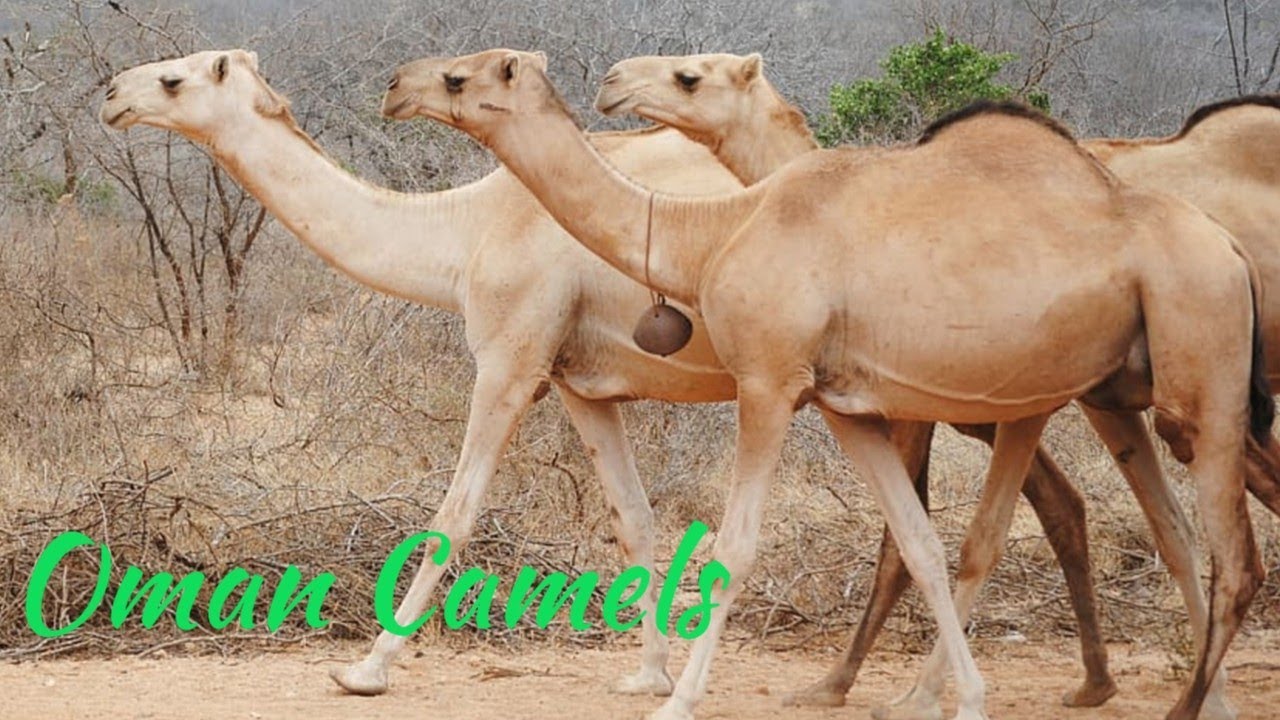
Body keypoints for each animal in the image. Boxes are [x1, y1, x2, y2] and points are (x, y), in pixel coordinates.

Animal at [99, 49, 757, 699]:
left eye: (172, 79)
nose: (111, 95)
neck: (467, 233)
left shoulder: (509, 359)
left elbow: (453, 515)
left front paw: (366, 669)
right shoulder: (581, 381)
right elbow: (633, 519)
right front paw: (650, 675)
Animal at [382, 49, 1273, 720]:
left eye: (458, 78)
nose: (395, 86)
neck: (714, 232)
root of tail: (1229, 249)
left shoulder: (769, 381)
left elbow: (736, 546)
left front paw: (679, 699)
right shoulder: (843, 403)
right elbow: (918, 540)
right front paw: (954, 696)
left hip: (1202, 373)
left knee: (1235, 556)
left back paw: (1188, 704)